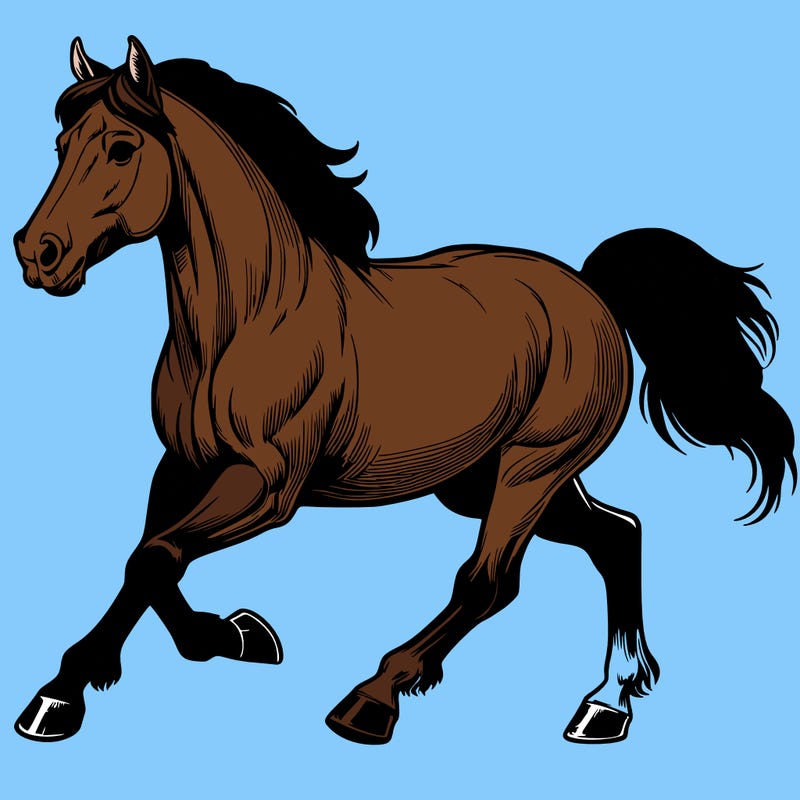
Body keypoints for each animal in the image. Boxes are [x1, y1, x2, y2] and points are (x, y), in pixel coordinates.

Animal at [13, 36, 795, 746]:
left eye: (121, 148)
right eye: (60, 143)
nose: (37, 254)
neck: (247, 322)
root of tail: (588, 289)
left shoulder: (269, 485)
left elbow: (156, 556)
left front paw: (75, 693)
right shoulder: (184, 465)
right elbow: (146, 554)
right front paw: (206, 642)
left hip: (533, 466)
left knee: (490, 579)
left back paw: (372, 699)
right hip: (481, 479)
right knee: (616, 534)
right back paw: (606, 704)